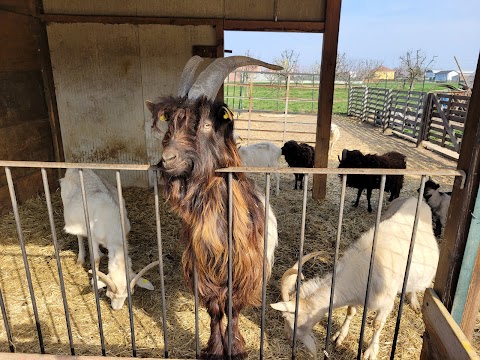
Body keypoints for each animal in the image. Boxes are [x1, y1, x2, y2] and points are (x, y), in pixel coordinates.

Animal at [59, 169, 158, 310]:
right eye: (109, 294)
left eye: (128, 295)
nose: (116, 309)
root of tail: (74, 169)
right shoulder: (93, 237)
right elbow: (95, 259)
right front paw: (95, 281)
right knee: (79, 236)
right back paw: (80, 258)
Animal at [146, 56, 282, 360]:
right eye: (171, 124)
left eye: (207, 125)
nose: (167, 159)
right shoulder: (203, 273)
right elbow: (214, 310)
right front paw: (214, 348)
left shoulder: (244, 272)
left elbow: (233, 310)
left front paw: (236, 348)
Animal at [270, 197, 438, 360]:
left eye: (290, 320)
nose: (287, 336)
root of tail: (417, 199)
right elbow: (350, 311)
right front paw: (339, 336)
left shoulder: (387, 302)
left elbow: (377, 324)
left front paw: (371, 352)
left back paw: (414, 301)